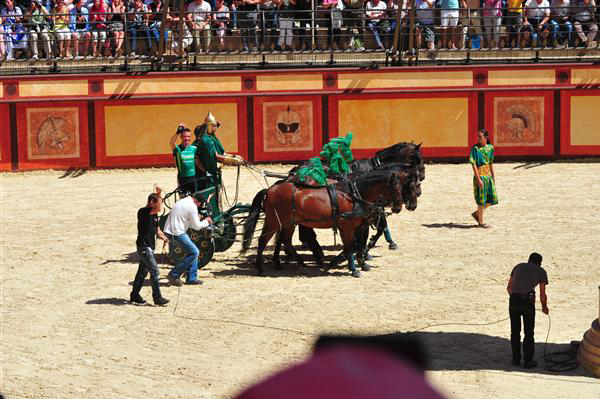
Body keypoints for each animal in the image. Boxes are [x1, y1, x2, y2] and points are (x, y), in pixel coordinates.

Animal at [240, 169, 418, 278]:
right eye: (395, 187)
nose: (398, 207)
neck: (354, 195)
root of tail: (269, 190)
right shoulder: (347, 227)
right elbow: (350, 246)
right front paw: (354, 269)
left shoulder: (360, 225)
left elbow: (360, 244)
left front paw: (361, 263)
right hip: (274, 221)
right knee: (263, 240)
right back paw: (260, 268)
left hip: (289, 222)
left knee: (285, 240)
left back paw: (301, 264)